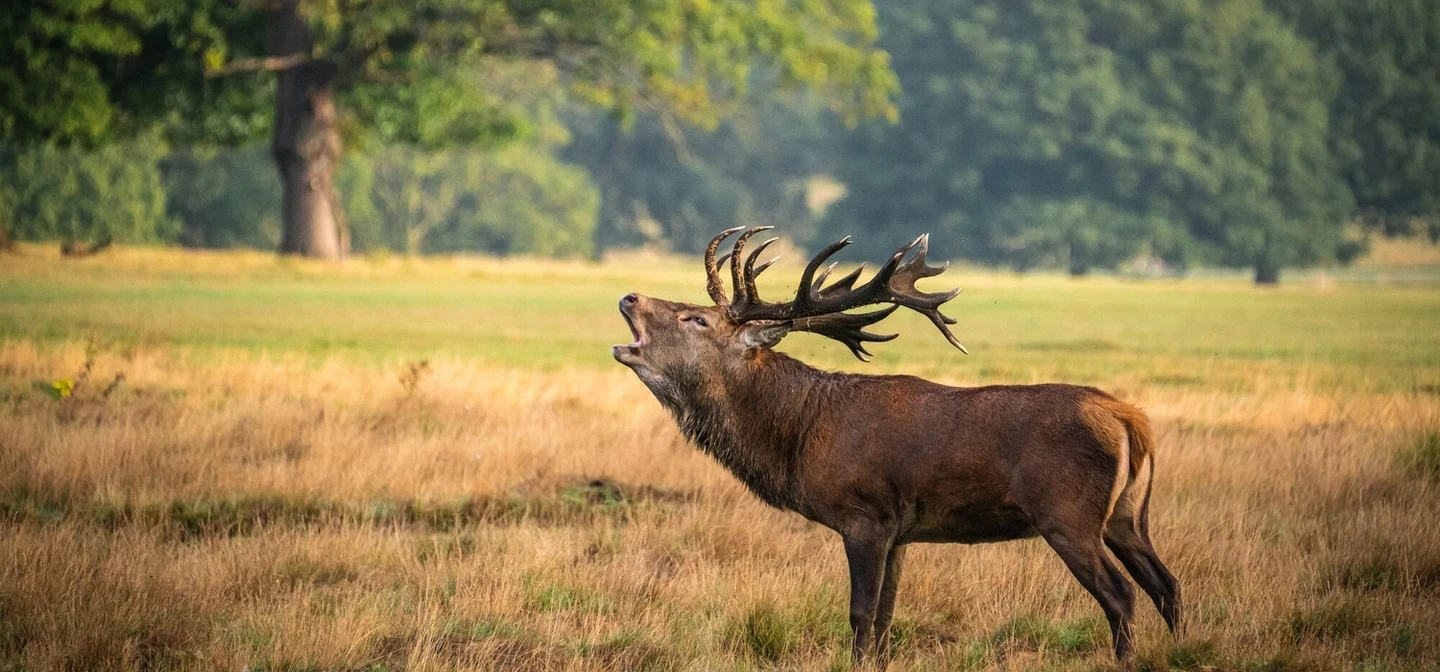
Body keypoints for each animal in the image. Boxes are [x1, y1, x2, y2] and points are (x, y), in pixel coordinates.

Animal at [612, 227, 1182, 663]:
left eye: (697, 319)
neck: (799, 436)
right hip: (1127, 515)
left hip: (1068, 513)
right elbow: (888, 616)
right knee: (1166, 585)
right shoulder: (903, 532)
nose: (629, 296)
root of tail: (1131, 420)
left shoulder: (866, 514)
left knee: (1122, 595)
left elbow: (861, 614)